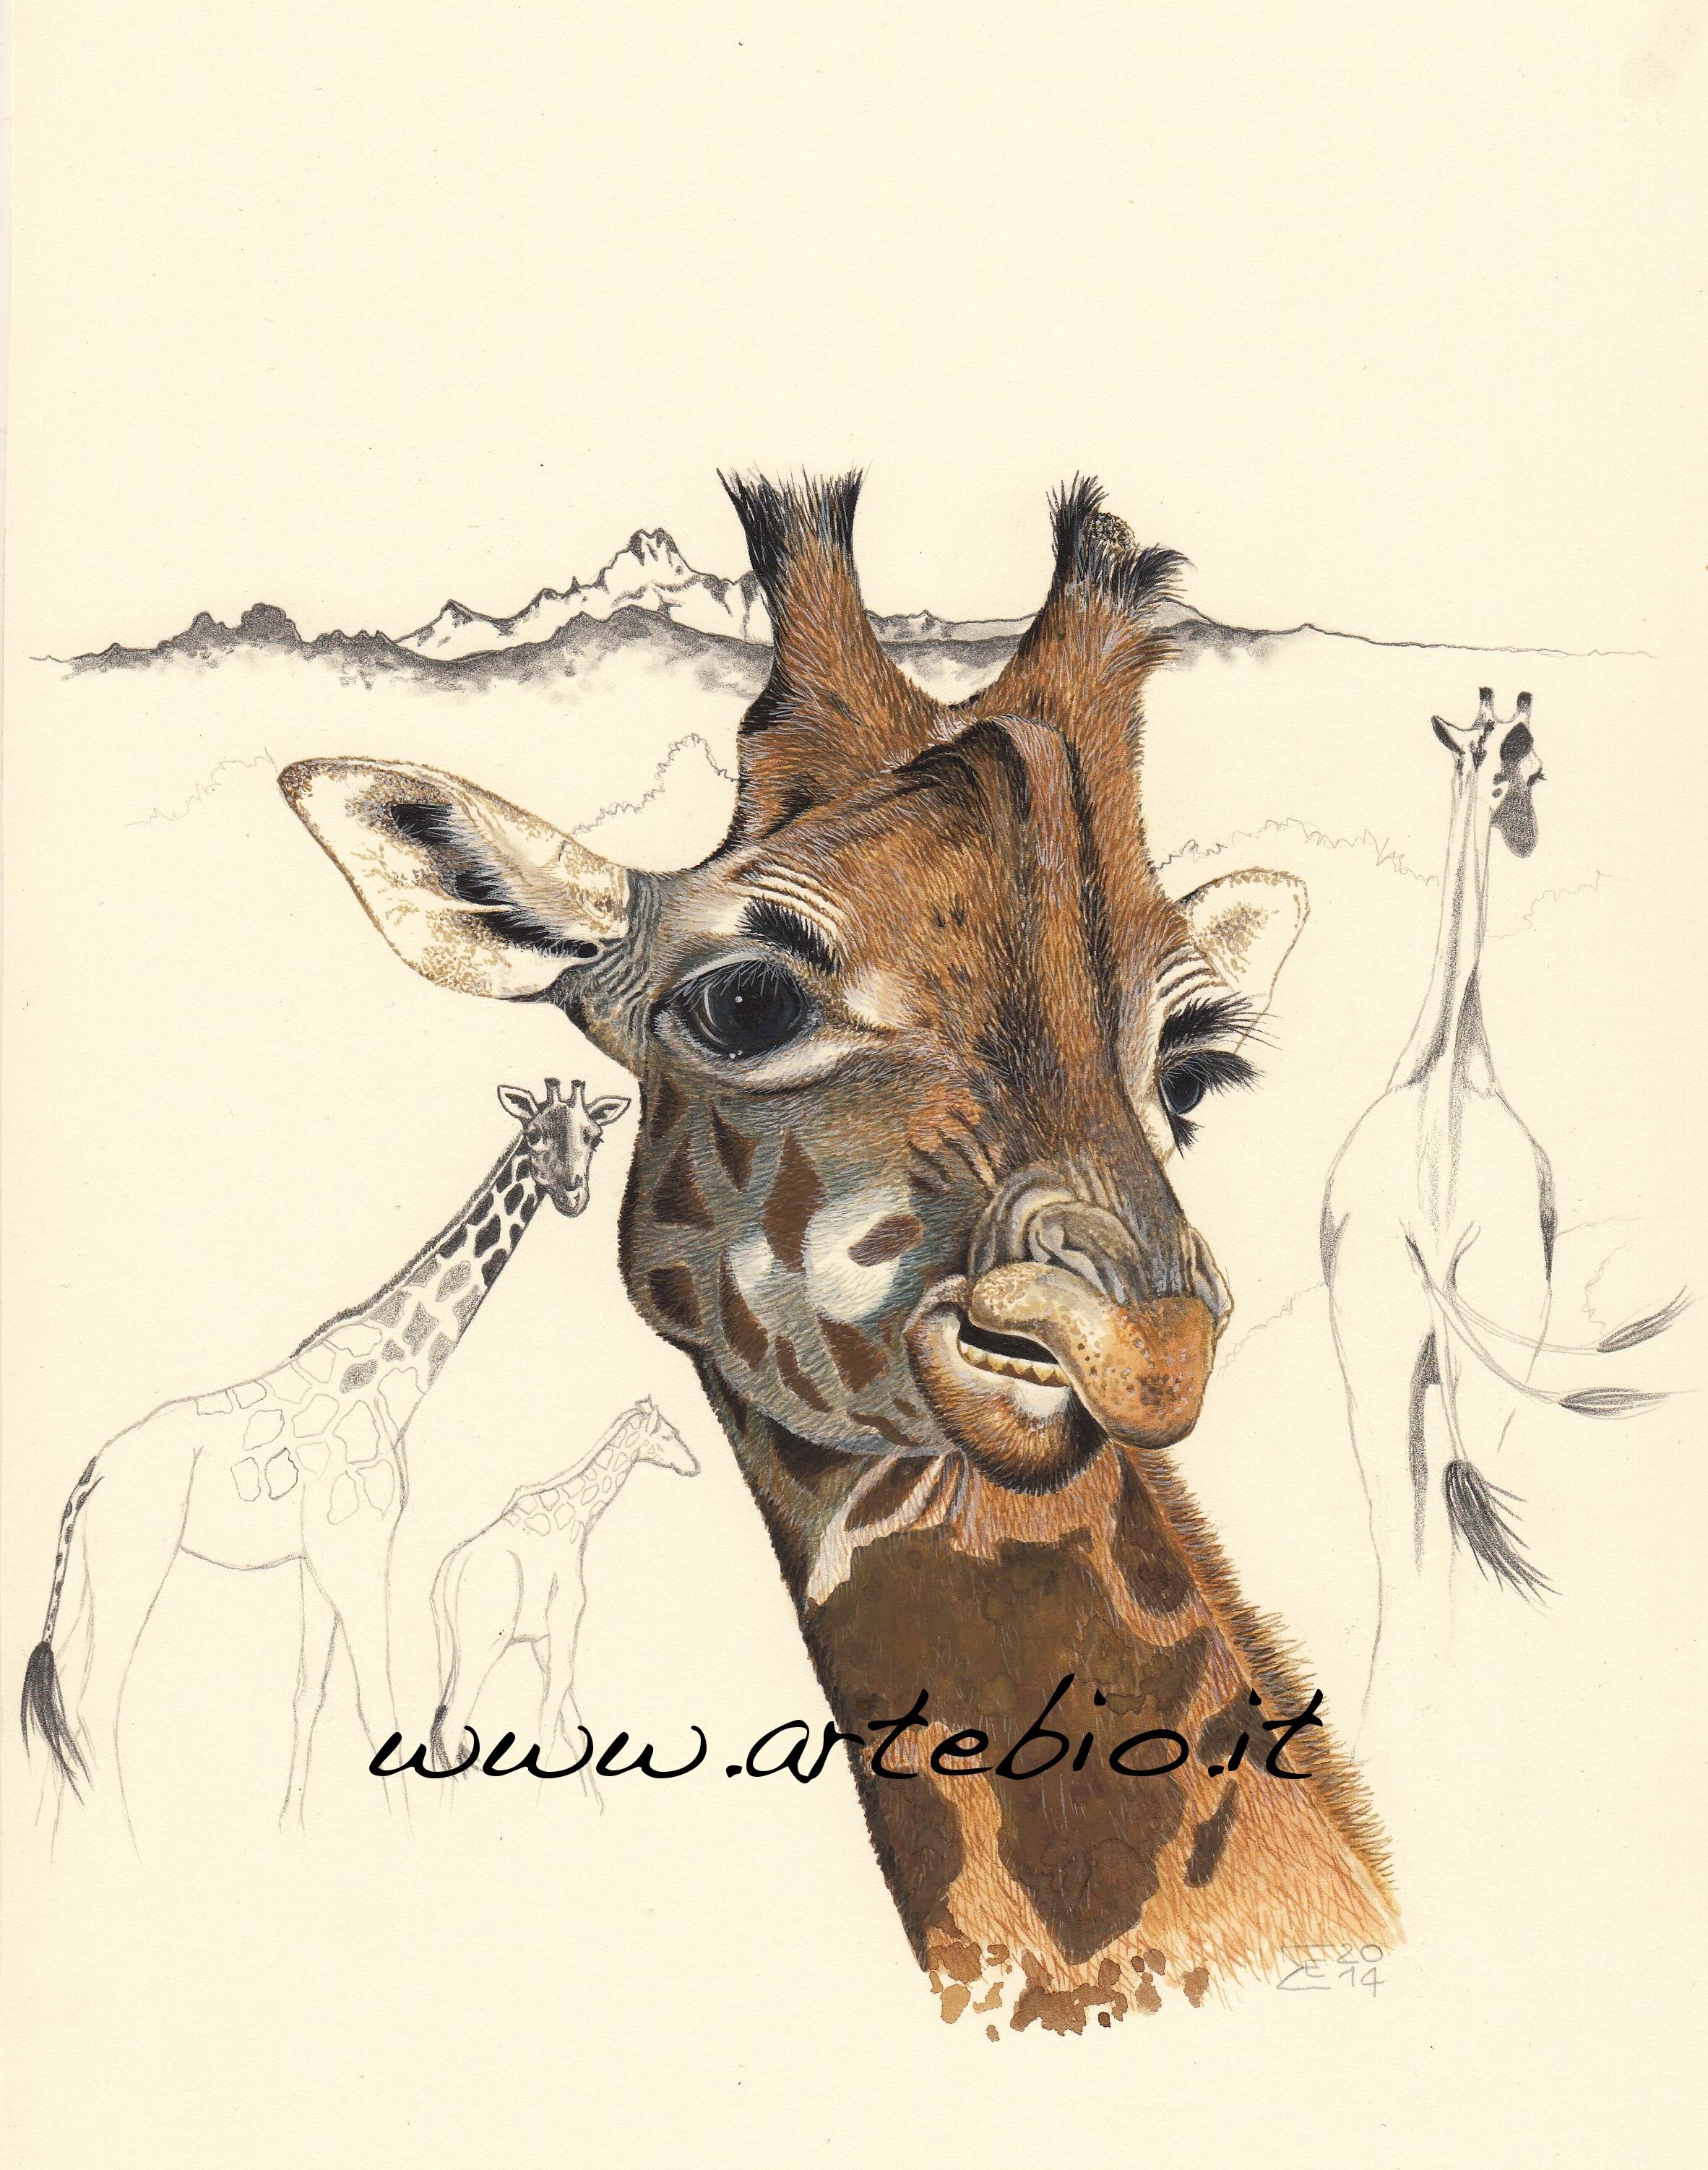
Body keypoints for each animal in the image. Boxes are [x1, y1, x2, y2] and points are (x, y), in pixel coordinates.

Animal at [20, 1077, 630, 1839]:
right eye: (537, 1135)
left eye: (594, 1136)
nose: (575, 1195)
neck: (396, 1375)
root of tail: (89, 1478)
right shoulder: (361, 1549)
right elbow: (379, 1700)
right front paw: (406, 1835)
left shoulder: (318, 1561)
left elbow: (310, 1690)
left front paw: (293, 1829)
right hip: (137, 1564)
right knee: (96, 1703)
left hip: (91, 1578)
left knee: (64, 1700)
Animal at [428, 1395, 700, 1806]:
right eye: (669, 1435)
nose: (694, 1465)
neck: (576, 1521)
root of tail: (451, 1575)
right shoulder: (564, 1621)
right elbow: (554, 1712)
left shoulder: (542, 1638)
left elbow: (570, 1722)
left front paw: (596, 1807)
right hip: (484, 1645)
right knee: (451, 1727)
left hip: (448, 1645)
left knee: (441, 1728)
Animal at [1321, 692, 1679, 1765]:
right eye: (1518, 772)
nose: (1523, 832)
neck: (1448, 1066)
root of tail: (1432, 1203)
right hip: (1487, 1373)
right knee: (1462, 1510)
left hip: (1379, 1369)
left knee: (1404, 1537)